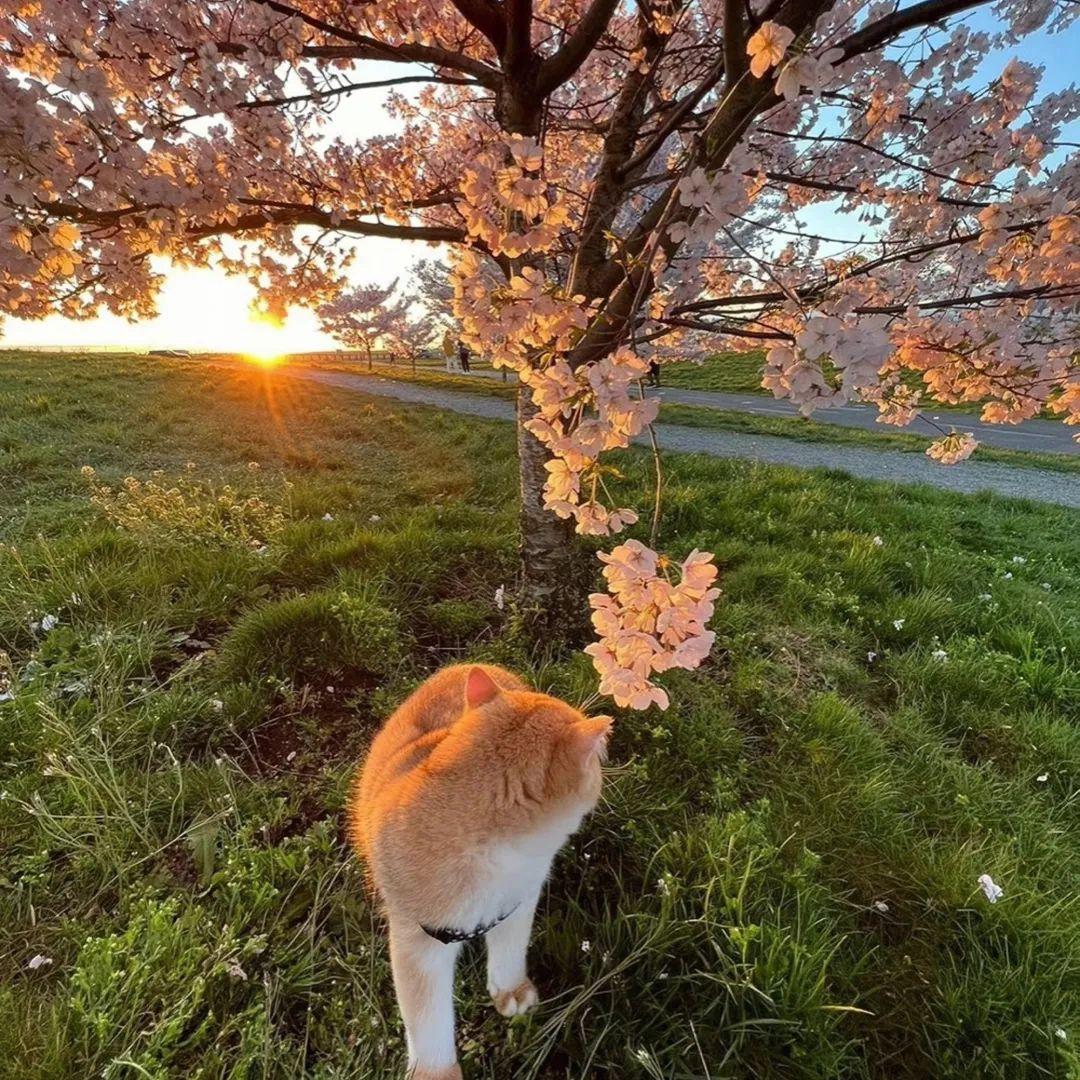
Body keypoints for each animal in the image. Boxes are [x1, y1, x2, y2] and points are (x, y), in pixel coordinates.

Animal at [349, 660, 613, 1075]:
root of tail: (469, 664)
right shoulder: (418, 946)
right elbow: (427, 1020)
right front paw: (436, 1074)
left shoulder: (519, 900)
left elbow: (510, 949)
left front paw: (511, 991)